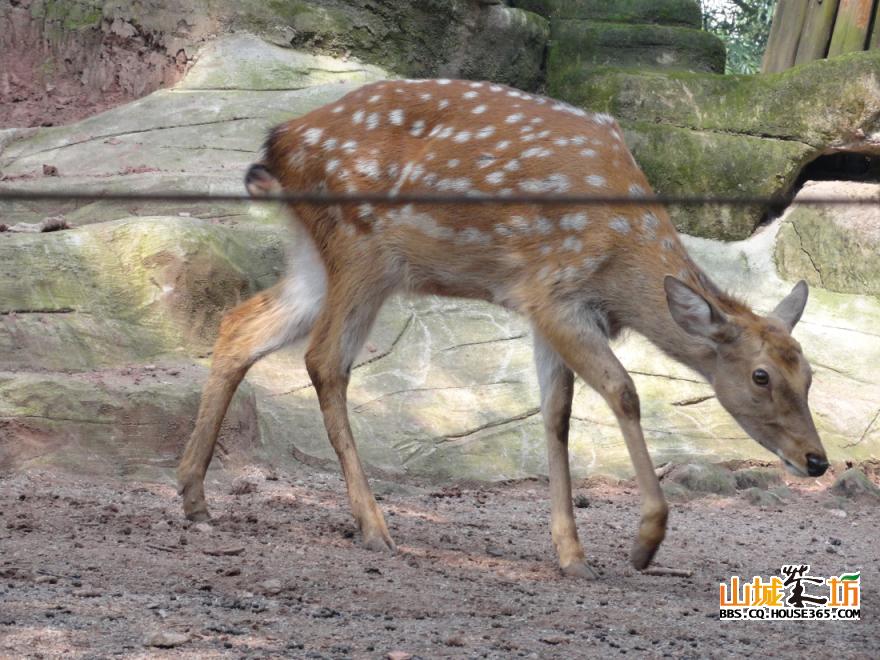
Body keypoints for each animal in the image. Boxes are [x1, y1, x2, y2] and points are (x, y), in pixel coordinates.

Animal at [177, 80, 824, 576]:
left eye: (810, 374)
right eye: (761, 376)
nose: (817, 460)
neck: (621, 258)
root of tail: (279, 142)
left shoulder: (548, 311)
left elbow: (556, 415)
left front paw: (571, 555)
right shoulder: (553, 293)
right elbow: (623, 392)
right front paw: (642, 545)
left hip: (320, 257)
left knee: (240, 325)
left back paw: (193, 496)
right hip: (362, 249)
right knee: (324, 359)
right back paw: (374, 525)